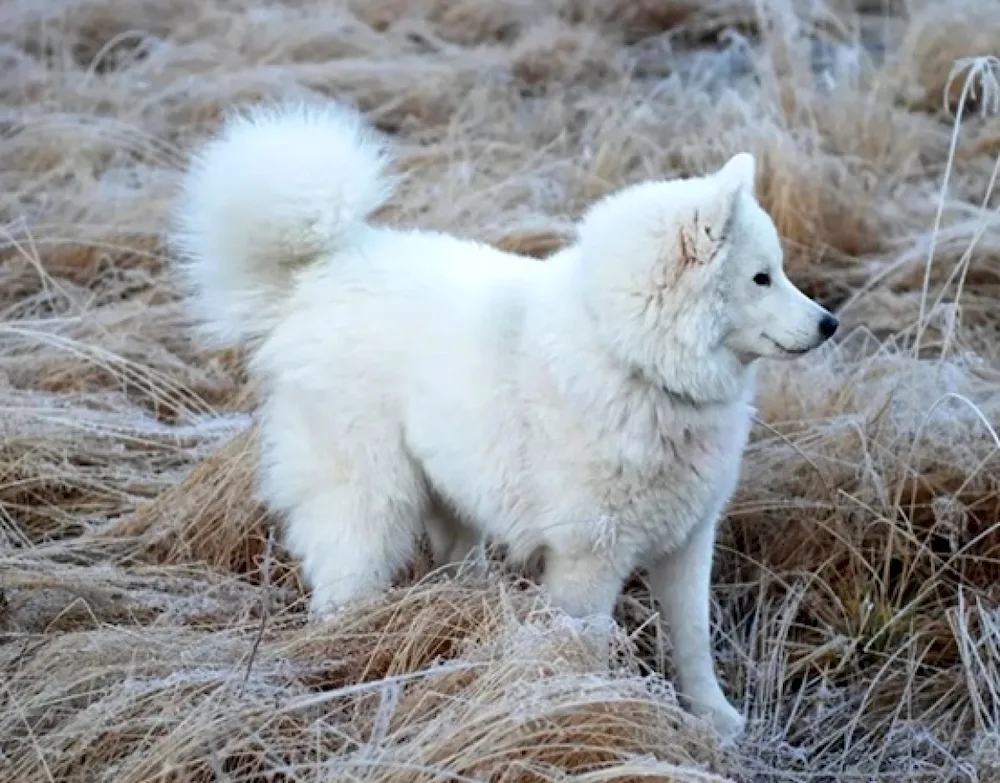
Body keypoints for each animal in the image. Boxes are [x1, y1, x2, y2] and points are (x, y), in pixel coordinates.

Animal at [170, 99, 836, 740]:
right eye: (761, 278)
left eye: (779, 270)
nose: (830, 323)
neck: (633, 362)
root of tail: (317, 273)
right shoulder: (587, 559)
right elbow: (589, 644)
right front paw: (598, 711)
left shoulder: (689, 540)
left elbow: (694, 643)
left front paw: (718, 722)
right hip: (370, 503)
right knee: (340, 586)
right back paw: (343, 655)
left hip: (452, 492)